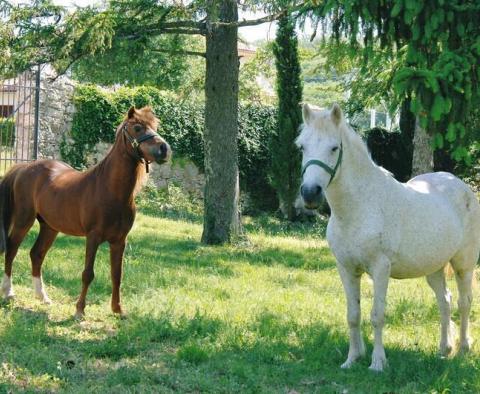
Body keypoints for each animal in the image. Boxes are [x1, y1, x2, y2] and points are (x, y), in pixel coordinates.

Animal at [0, 106, 171, 318]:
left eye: (155, 126)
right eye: (138, 127)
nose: (164, 149)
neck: (110, 189)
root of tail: (25, 167)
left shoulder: (119, 240)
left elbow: (117, 275)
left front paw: (118, 310)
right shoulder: (93, 237)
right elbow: (88, 273)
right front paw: (79, 310)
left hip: (50, 227)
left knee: (36, 254)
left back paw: (43, 297)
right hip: (24, 220)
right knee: (12, 250)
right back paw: (9, 292)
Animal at [298, 103, 480, 370]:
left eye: (334, 148)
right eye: (302, 147)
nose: (310, 193)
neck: (360, 206)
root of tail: (459, 185)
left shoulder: (380, 269)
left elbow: (377, 315)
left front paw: (377, 363)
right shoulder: (346, 269)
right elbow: (353, 315)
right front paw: (352, 359)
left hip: (463, 265)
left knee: (464, 302)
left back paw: (463, 350)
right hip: (434, 268)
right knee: (444, 301)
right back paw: (443, 349)